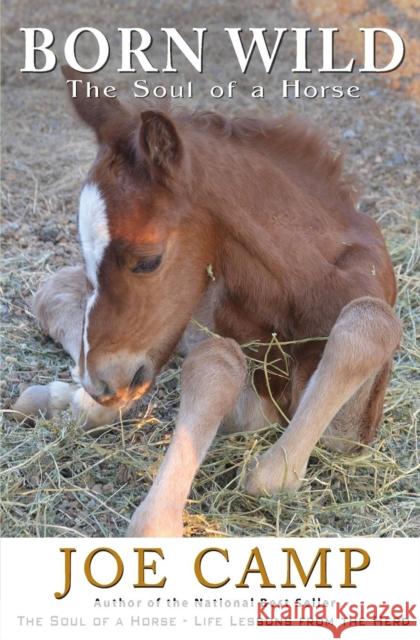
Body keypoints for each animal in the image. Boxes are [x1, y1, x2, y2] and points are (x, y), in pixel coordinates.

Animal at [18, 66, 400, 536]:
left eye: (148, 260)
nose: (101, 383)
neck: (303, 282)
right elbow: (218, 364)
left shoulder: (352, 432)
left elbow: (369, 322)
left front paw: (276, 472)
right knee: (52, 293)